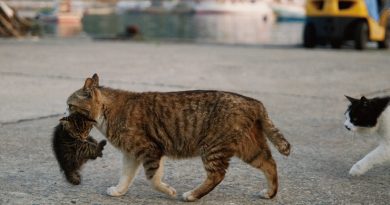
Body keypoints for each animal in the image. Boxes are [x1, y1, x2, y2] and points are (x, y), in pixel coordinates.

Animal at [67, 73, 290, 200]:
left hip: (213, 148)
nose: (64, 114)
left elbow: (153, 178)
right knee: (270, 164)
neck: (107, 112)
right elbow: (126, 176)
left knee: (217, 175)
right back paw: (270, 193)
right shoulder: (132, 155)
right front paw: (119, 191)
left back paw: (192, 195)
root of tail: (254, 102)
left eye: (70, 105)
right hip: (250, 149)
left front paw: (169, 191)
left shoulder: (149, 150)